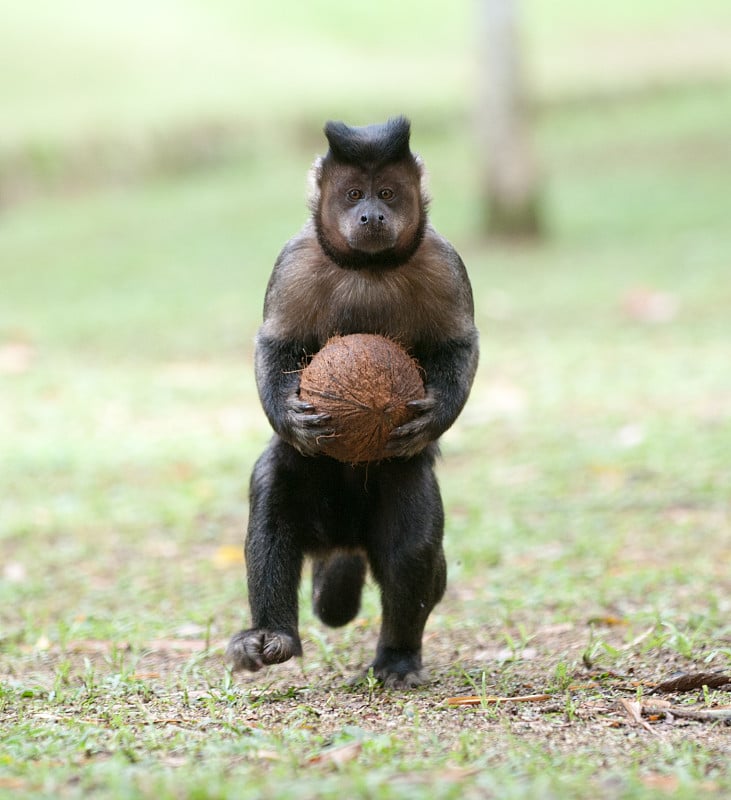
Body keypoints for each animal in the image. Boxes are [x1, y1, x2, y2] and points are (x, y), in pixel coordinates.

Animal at [229, 114, 480, 688]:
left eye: (386, 192)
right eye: (351, 194)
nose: (371, 214)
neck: (369, 267)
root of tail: (344, 538)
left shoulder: (444, 261)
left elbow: (460, 344)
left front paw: (434, 415)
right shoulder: (294, 264)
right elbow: (273, 344)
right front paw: (291, 418)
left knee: (411, 548)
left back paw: (398, 656)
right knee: (273, 497)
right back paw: (273, 634)